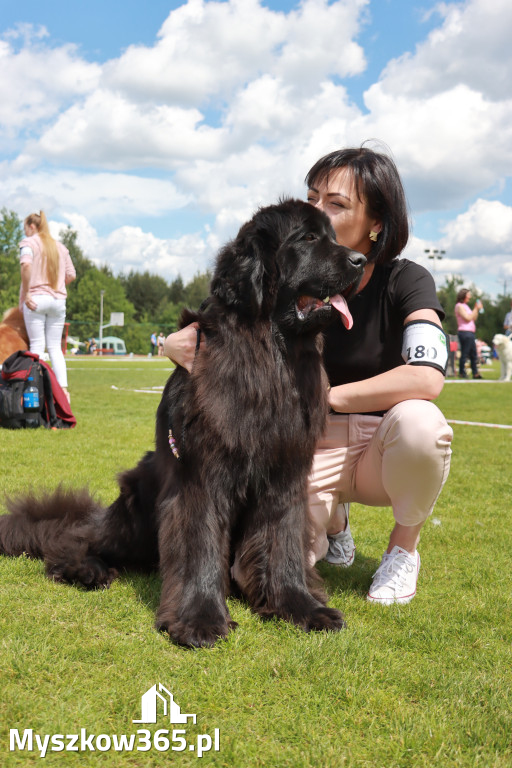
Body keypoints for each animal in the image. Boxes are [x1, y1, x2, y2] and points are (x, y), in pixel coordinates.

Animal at [2, 200, 366, 648]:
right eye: (309, 238)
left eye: (334, 236)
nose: (361, 260)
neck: (270, 355)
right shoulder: (200, 476)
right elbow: (200, 544)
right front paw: (199, 619)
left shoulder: (286, 476)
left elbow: (284, 544)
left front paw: (300, 607)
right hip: (136, 512)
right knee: (77, 538)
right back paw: (86, 568)